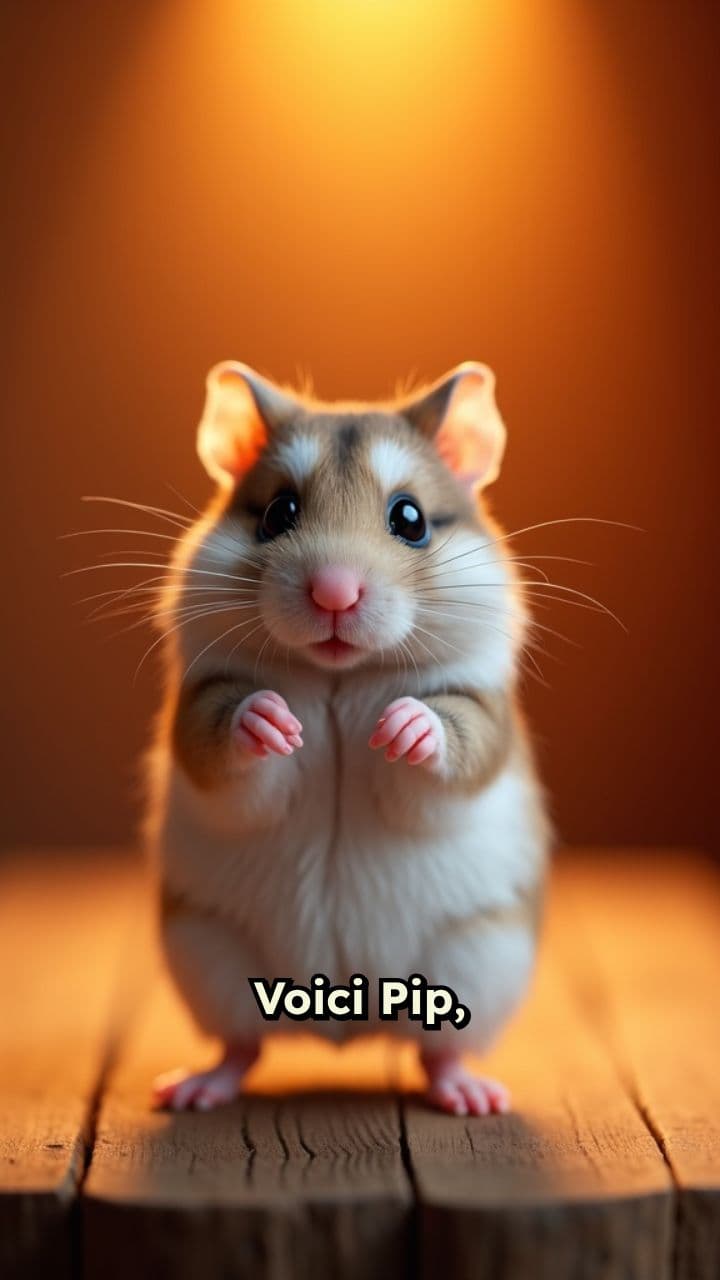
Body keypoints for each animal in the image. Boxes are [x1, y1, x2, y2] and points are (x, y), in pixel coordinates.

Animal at [148, 360, 550, 1117]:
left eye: (410, 519)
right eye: (277, 513)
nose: (335, 593)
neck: (339, 676)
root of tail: (343, 1027)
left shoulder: (481, 712)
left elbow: (448, 741)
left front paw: (399, 726)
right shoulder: (200, 704)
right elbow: (226, 740)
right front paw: (275, 721)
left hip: (477, 965)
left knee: (438, 1050)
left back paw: (473, 1097)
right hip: (209, 957)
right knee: (241, 1046)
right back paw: (189, 1091)